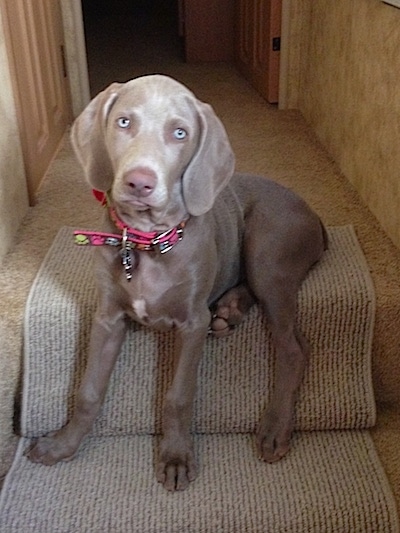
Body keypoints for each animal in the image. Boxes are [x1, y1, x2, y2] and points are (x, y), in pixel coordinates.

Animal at [28, 74, 328, 490]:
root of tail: (316, 217)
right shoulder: (107, 318)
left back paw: (274, 428)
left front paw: (175, 457)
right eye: (123, 122)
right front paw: (62, 445)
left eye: (180, 133)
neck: (145, 241)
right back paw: (229, 311)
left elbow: (178, 396)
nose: (139, 182)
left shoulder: (192, 323)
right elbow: (88, 391)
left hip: (268, 249)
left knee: (293, 348)